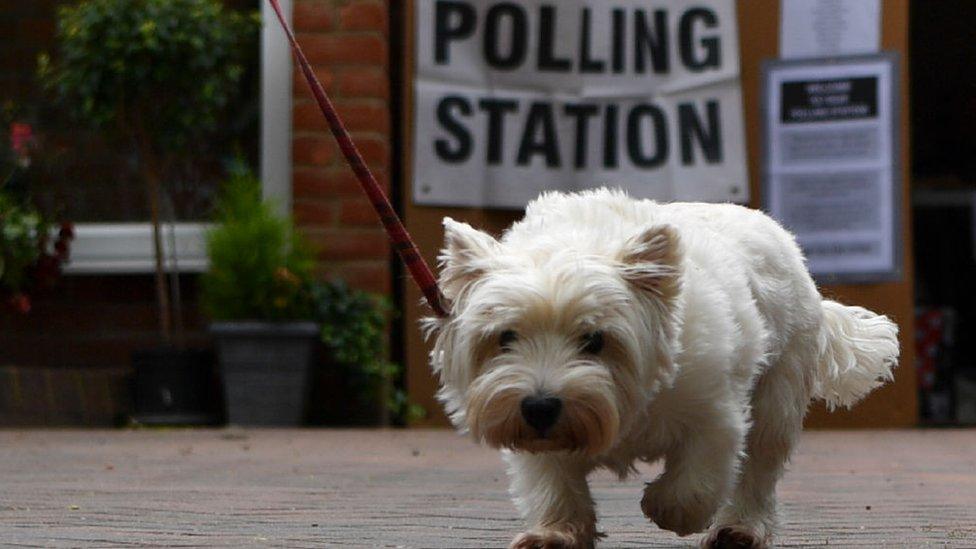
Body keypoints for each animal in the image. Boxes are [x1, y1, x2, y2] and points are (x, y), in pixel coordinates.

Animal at [424, 188, 896, 548]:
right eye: (505, 337)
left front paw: (667, 508)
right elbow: (552, 483)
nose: (540, 406)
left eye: (595, 339)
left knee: (761, 463)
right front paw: (554, 534)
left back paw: (740, 528)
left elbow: (696, 481)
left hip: (778, 390)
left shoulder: (714, 412)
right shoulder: (540, 440)